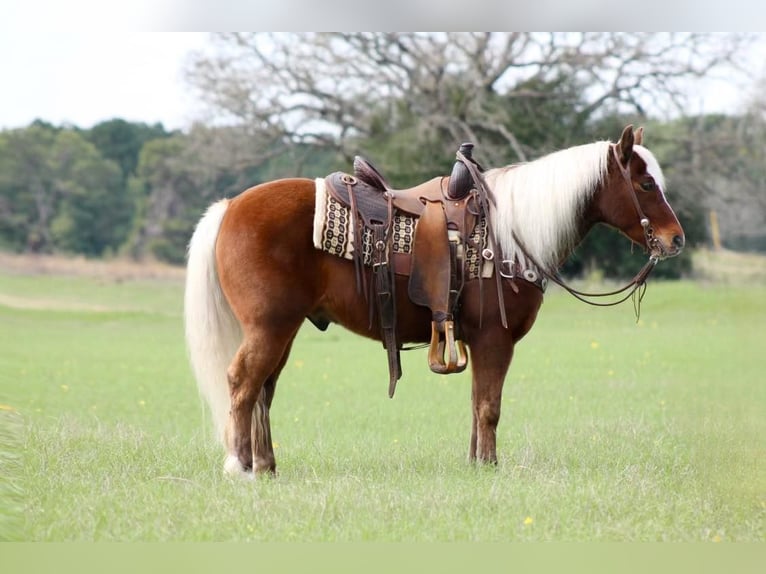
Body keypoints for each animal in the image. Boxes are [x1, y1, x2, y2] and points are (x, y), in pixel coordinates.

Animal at [184, 127, 684, 482]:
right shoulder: (495, 339)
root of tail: (230, 206)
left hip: (283, 329)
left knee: (263, 391)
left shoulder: (479, 342)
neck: (510, 232)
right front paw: (489, 467)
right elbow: (489, 406)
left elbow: (477, 402)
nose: (675, 239)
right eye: (644, 183)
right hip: (270, 327)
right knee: (243, 384)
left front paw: (476, 463)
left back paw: (267, 467)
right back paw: (241, 468)